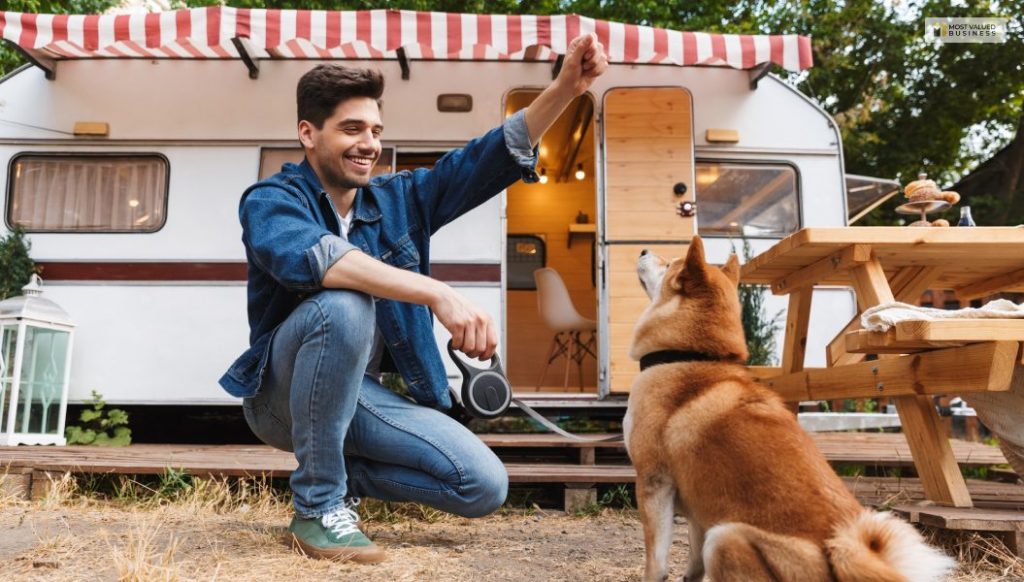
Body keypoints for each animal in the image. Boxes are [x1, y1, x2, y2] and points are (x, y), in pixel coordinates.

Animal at [618, 236, 954, 581]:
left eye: (669, 264)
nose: (643, 250)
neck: (690, 356)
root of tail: (836, 562)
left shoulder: (654, 482)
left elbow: (655, 563)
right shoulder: (699, 506)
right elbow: (692, 569)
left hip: (724, 537)